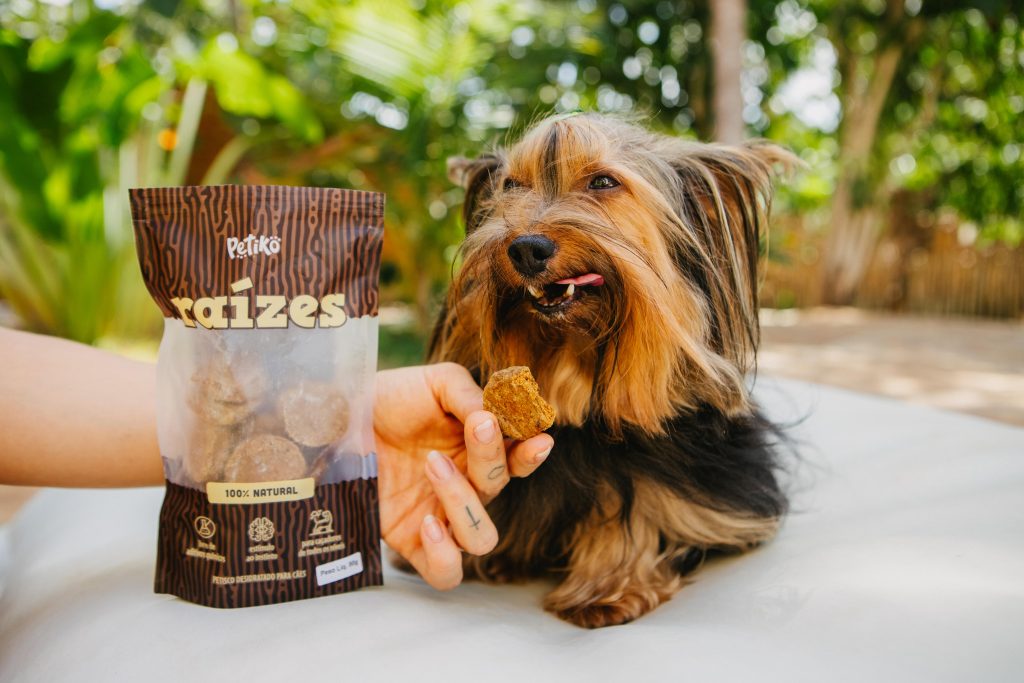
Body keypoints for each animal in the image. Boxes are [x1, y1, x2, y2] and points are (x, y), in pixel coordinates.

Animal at [423, 113, 790, 630]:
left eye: (603, 182)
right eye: (511, 185)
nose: (526, 249)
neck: (574, 360)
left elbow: (634, 509)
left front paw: (607, 587)